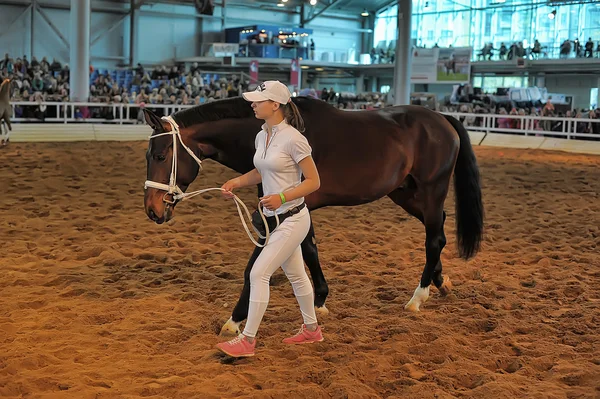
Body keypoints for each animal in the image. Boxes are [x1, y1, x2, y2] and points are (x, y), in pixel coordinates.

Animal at [143, 95, 486, 336]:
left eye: (160, 155)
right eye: (148, 155)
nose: (153, 210)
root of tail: (442, 119)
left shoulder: (275, 213)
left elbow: (255, 266)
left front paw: (234, 320)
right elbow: (309, 249)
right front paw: (320, 300)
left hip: (431, 189)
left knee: (434, 238)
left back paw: (418, 296)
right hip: (405, 193)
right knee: (438, 230)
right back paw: (440, 282)